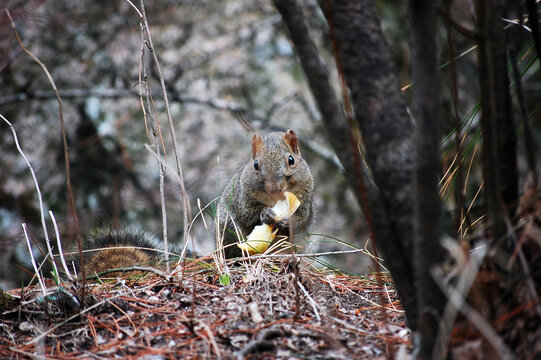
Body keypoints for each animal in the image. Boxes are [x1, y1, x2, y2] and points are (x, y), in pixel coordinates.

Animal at [216, 128, 314, 258]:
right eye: (255, 164)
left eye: (291, 160)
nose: (275, 189)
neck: (276, 198)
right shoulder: (244, 197)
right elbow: (248, 213)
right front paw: (265, 212)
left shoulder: (304, 196)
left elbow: (302, 217)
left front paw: (289, 223)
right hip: (228, 226)